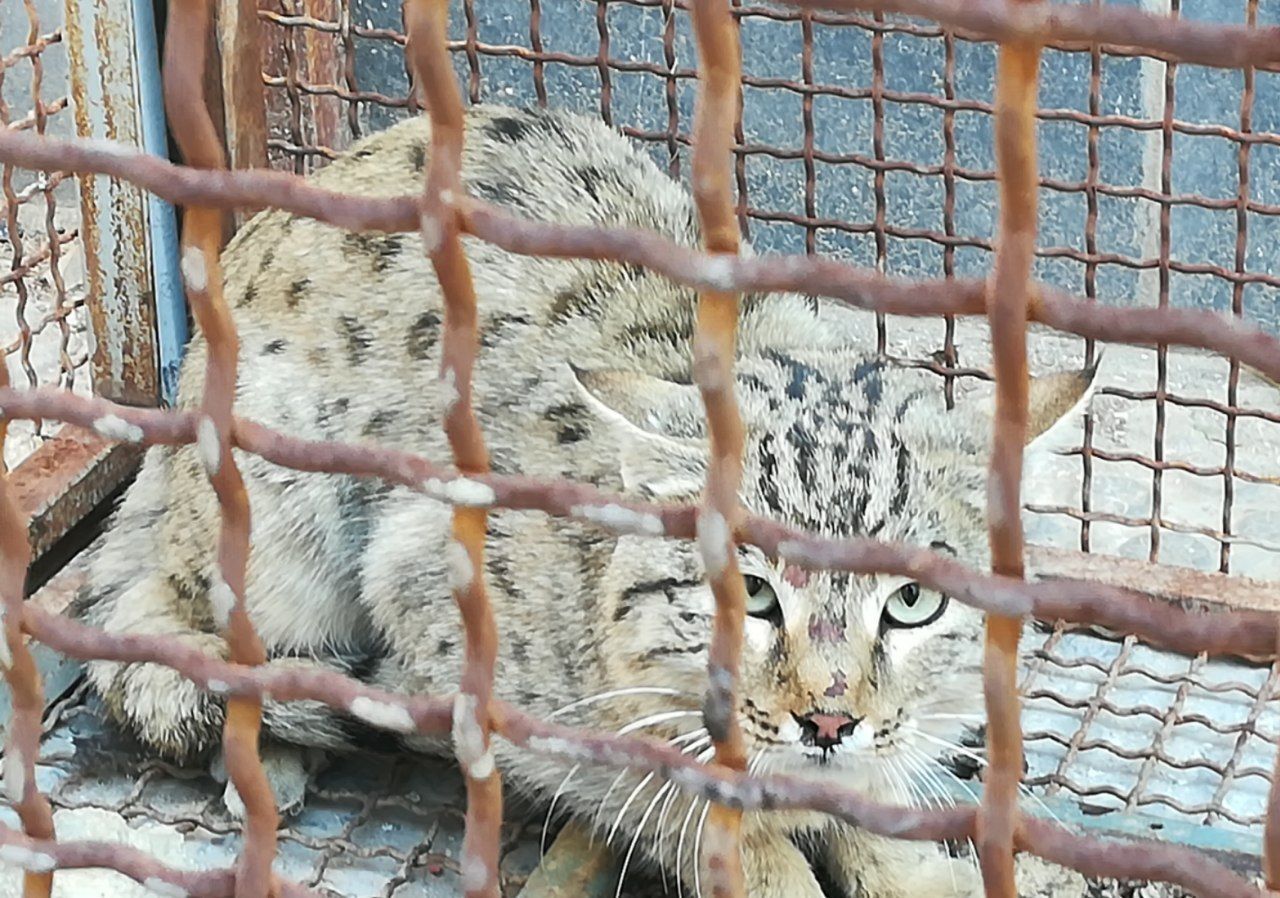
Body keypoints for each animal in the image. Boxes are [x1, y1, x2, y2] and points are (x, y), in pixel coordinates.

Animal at [70, 102, 1131, 895]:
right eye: (749, 593)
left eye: (911, 602)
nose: (827, 721)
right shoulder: (441, 599)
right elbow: (666, 793)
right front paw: (761, 851)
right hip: (286, 514)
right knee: (172, 624)